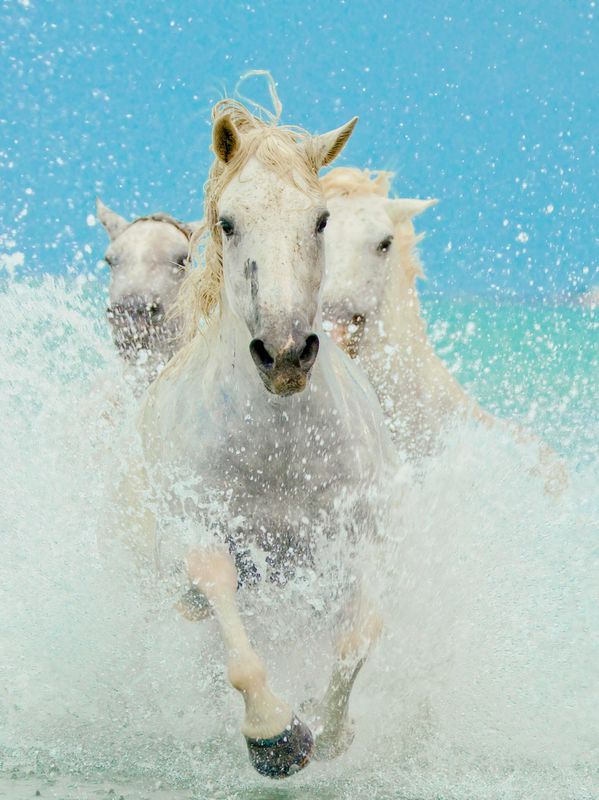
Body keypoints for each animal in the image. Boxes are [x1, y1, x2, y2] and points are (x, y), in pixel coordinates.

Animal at [111, 102, 398, 778]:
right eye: (228, 222)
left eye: (320, 219)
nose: (285, 353)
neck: (278, 450)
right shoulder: (199, 534)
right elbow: (224, 610)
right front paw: (275, 735)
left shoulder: (356, 540)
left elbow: (358, 636)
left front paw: (331, 729)